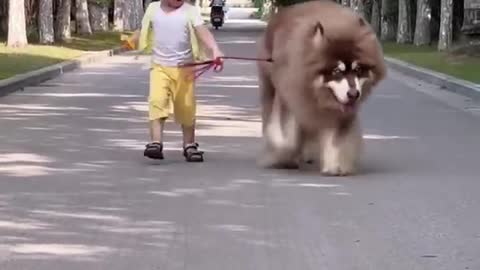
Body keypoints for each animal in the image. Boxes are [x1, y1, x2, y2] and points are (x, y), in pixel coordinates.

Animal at [255, 0, 386, 176]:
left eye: (358, 69)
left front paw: (336, 166)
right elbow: (286, 136)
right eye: (337, 71)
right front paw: (282, 155)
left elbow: (337, 140)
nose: (353, 94)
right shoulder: (292, 98)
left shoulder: (338, 115)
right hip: (271, 87)